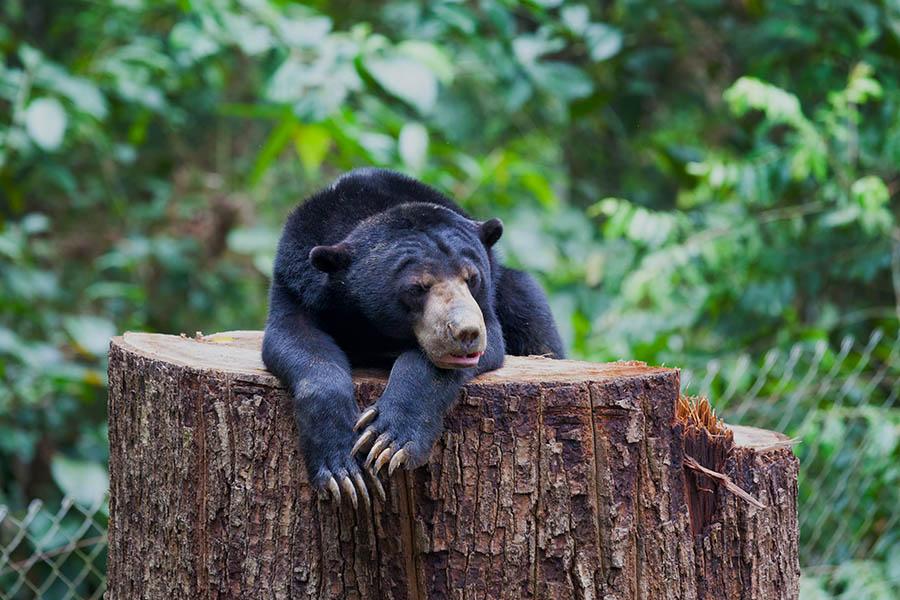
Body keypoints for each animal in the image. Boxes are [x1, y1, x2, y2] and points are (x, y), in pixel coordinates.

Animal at [262, 168, 564, 508]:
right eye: (417, 288)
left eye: (472, 278)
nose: (466, 332)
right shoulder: (296, 282)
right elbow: (296, 340)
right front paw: (343, 470)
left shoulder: (487, 311)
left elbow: (448, 361)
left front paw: (388, 441)